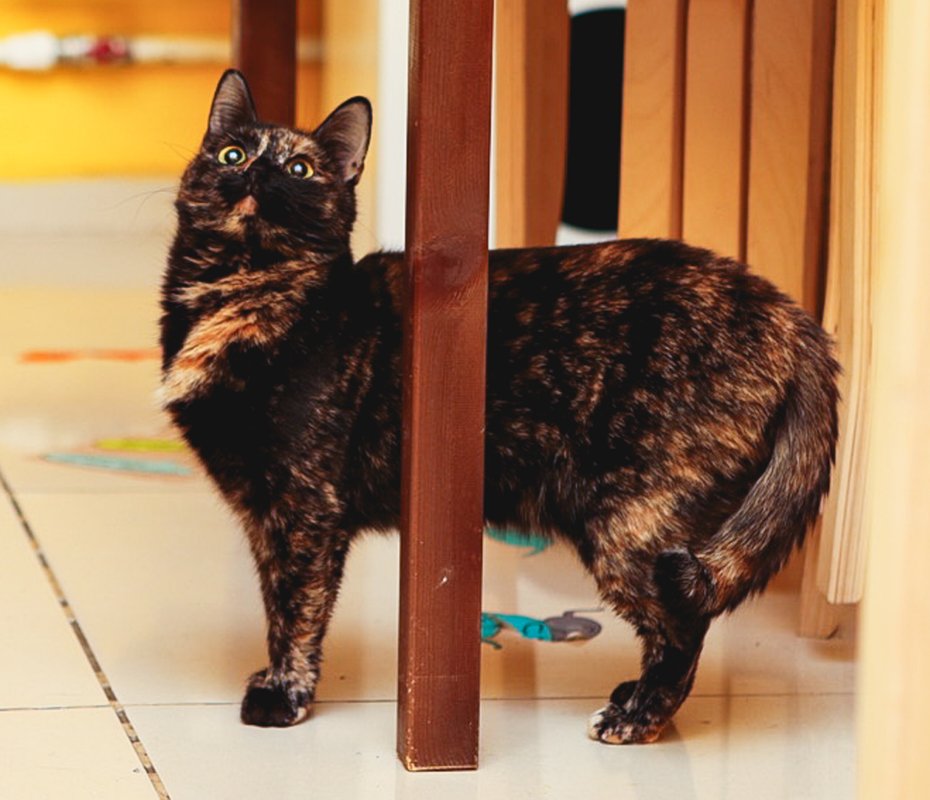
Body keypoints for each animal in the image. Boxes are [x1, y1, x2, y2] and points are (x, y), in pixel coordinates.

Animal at [160, 70, 839, 745]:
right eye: (232, 154)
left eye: (299, 168)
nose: (257, 172)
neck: (235, 291)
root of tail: (791, 317)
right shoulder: (262, 510)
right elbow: (275, 599)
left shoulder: (304, 507)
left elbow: (296, 607)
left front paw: (284, 695)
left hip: (630, 520)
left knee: (683, 623)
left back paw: (633, 718)